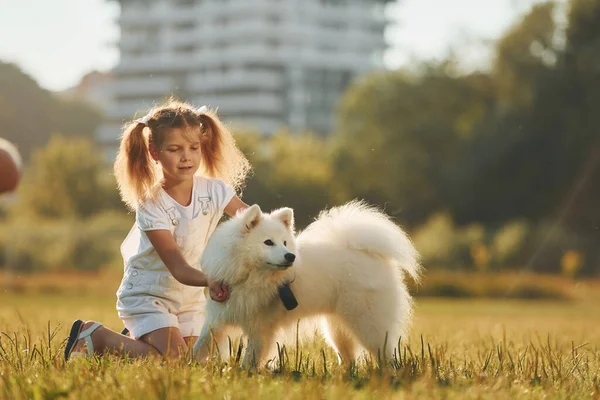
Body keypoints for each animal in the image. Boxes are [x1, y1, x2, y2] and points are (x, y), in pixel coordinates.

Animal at [195, 202, 420, 368]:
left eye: (285, 243)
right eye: (268, 242)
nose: (290, 256)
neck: (248, 275)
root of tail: (370, 254)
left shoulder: (260, 329)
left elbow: (250, 359)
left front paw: (245, 375)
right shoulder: (218, 317)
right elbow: (200, 345)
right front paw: (189, 365)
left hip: (367, 323)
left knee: (386, 352)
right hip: (336, 328)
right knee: (348, 358)